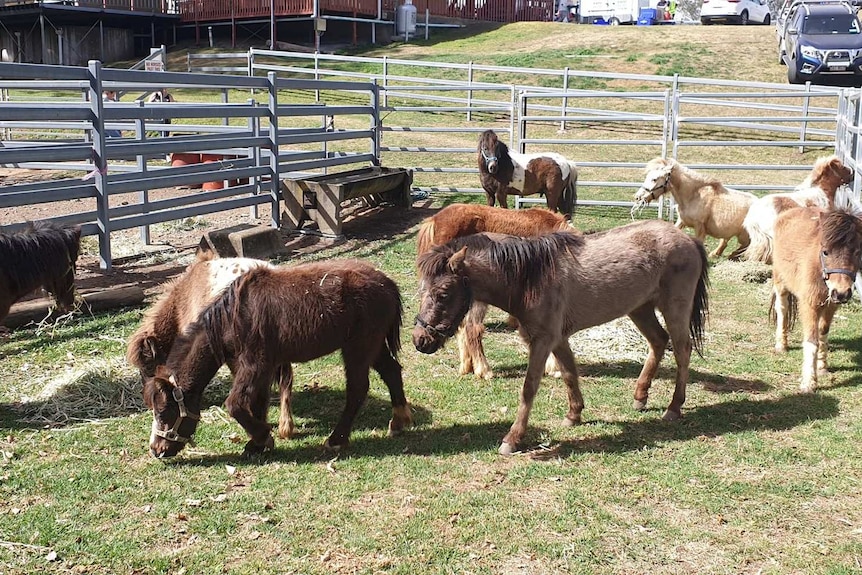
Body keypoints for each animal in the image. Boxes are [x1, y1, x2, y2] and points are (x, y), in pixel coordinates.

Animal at [143, 260, 414, 460]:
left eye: (164, 412)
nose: (156, 450)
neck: (233, 319)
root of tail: (388, 284)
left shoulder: (255, 365)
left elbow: (235, 404)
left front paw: (263, 436)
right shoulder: (260, 369)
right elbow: (257, 402)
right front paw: (256, 443)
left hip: (358, 348)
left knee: (358, 389)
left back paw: (337, 439)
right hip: (373, 347)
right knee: (392, 371)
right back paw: (399, 421)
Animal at [768, 205, 862, 394]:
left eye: (857, 252)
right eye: (826, 252)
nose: (842, 293)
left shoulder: (831, 305)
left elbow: (823, 332)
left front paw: (822, 367)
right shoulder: (809, 304)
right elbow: (811, 340)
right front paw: (809, 382)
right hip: (780, 282)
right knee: (782, 310)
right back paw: (781, 345)